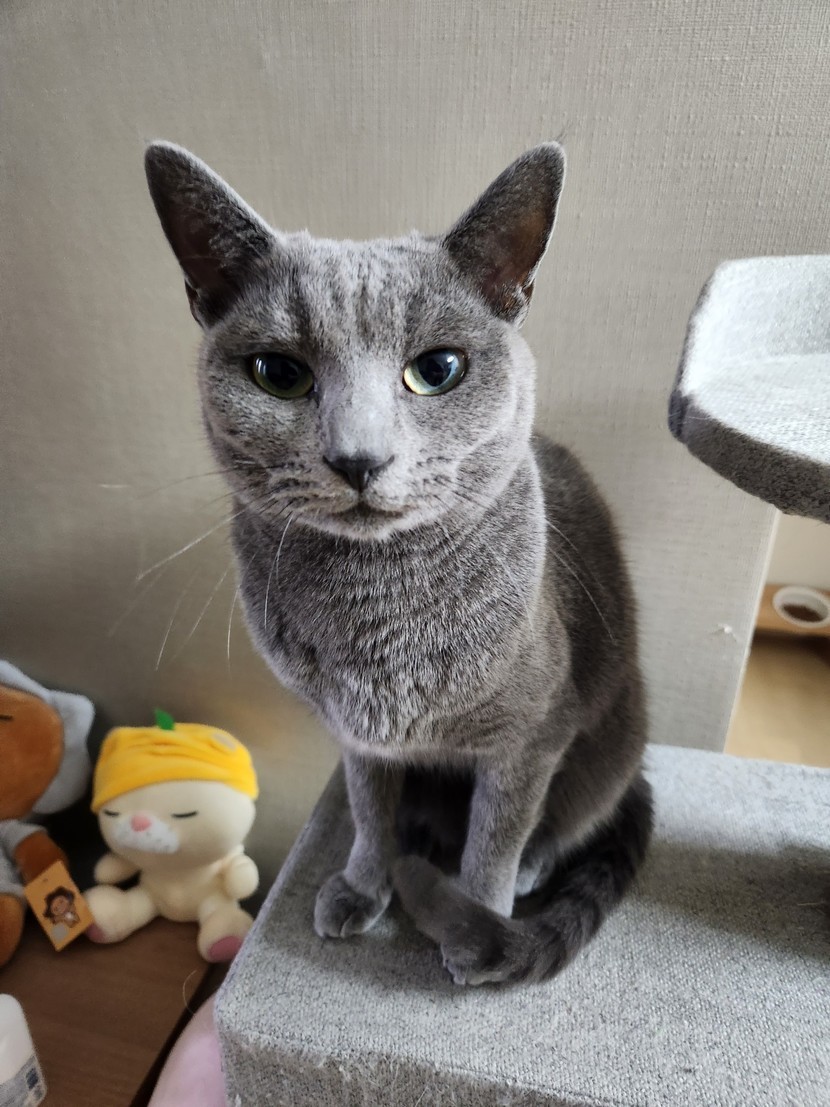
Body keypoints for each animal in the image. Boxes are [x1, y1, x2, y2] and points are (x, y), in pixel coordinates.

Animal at [144, 140, 653, 986]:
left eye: (437, 368)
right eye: (278, 373)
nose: (359, 458)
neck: (377, 601)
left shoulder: (528, 736)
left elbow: (495, 836)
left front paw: (475, 921)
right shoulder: (356, 737)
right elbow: (367, 811)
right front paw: (362, 884)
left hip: (613, 730)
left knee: (573, 816)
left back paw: (528, 870)